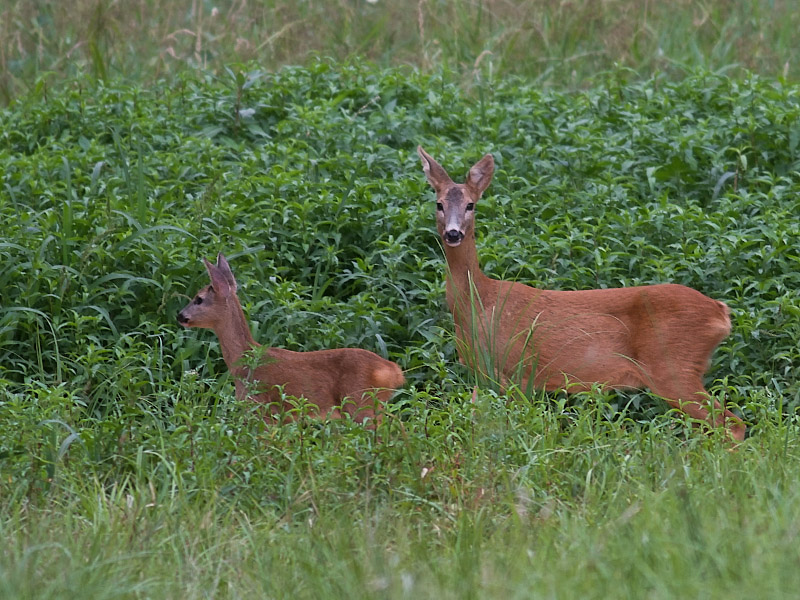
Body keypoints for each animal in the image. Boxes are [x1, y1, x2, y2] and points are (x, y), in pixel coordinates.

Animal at [177, 253, 404, 422]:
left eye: (199, 299)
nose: (180, 315)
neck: (245, 361)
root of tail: (394, 371)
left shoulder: (262, 406)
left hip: (359, 401)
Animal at [416, 145, 748, 440]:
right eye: (439, 204)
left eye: (471, 204)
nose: (453, 233)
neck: (480, 302)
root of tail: (720, 312)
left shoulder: (514, 370)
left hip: (673, 366)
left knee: (732, 424)